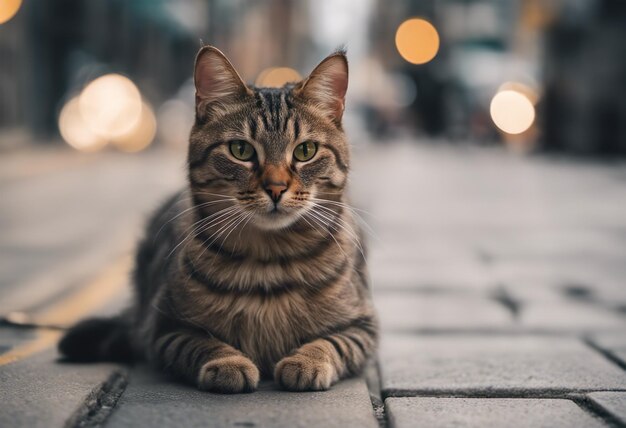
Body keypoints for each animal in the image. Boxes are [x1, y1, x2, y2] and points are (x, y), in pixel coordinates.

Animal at [59, 45, 376, 392]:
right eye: (240, 149)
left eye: (305, 151)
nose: (276, 188)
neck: (268, 262)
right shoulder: (163, 327)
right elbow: (201, 342)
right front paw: (228, 362)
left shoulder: (363, 325)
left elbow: (331, 343)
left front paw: (307, 361)